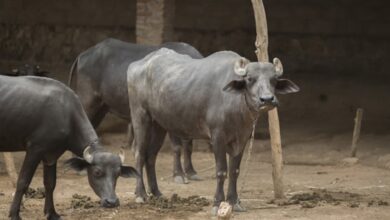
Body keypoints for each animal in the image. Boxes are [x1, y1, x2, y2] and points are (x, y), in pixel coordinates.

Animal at [0, 75, 139, 220]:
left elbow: (50, 183)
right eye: (97, 172)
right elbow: (23, 182)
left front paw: (51, 213)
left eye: (118, 174)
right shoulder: (34, 150)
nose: (112, 202)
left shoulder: (51, 156)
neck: (66, 115)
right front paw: (14, 214)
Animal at [68, 38, 204, 184]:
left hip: (101, 107)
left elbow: (188, 145)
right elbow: (177, 147)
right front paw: (178, 174)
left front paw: (191, 172)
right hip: (88, 102)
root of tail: (82, 55)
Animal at [126, 49, 300, 214]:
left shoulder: (242, 139)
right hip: (140, 116)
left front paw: (234, 202)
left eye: (274, 80)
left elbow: (234, 171)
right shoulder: (217, 137)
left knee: (150, 156)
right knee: (139, 154)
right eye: (250, 79)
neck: (236, 106)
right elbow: (221, 171)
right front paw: (217, 203)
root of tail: (136, 65)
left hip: (159, 124)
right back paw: (140, 194)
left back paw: (156, 193)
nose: (267, 99)